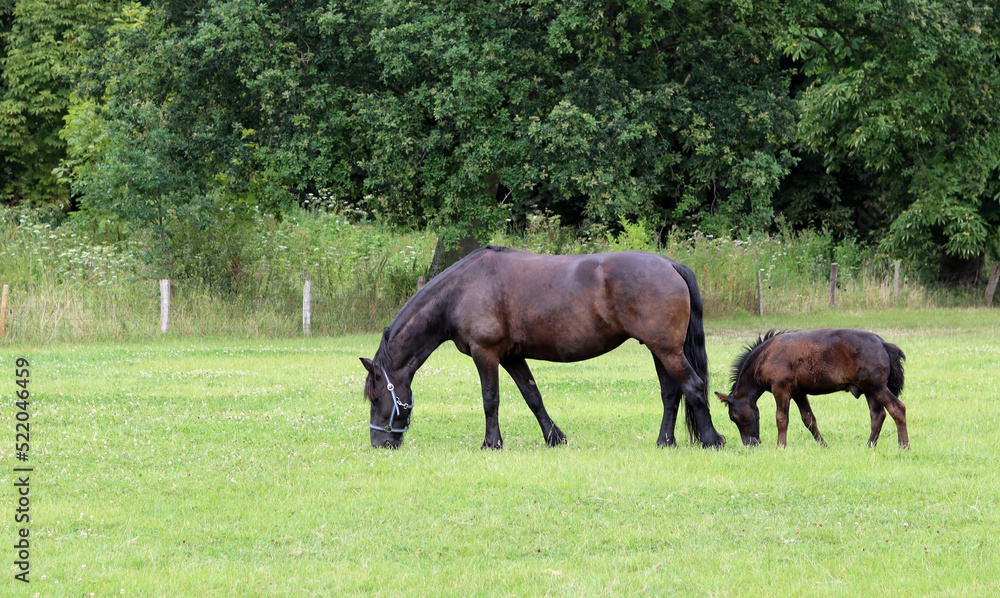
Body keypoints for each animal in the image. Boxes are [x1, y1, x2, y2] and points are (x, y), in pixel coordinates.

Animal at [360, 247, 728, 450]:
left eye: (377, 398)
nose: (380, 443)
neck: (463, 289)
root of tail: (670, 265)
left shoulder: (486, 354)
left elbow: (490, 400)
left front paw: (491, 443)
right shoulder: (512, 357)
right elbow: (532, 396)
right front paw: (555, 438)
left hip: (666, 350)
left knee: (693, 386)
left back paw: (712, 439)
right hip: (659, 350)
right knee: (671, 393)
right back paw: (665, 441)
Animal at [716, 332, 912, 450]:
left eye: (733, 417)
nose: (750, 444)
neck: (766, 357)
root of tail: (882, 342)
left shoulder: (781, 389)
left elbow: (781, 419)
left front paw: (781, 446)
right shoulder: (798, 393)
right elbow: (809, 419)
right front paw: (823, 445)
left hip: (877, 388)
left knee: (897, 408)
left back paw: (904, 446)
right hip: (870, 391)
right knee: (878, 415)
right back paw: (870, 445)